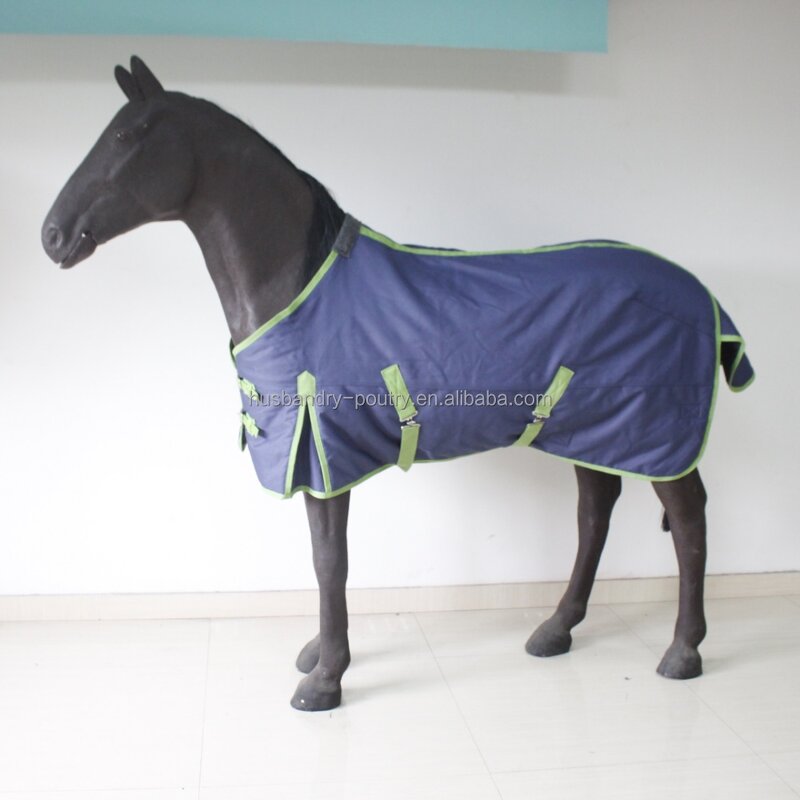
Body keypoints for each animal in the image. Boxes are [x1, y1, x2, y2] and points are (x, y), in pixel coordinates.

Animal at [42, 57, 753, 712]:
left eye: (126, 136)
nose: (52, 235)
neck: (299, 283)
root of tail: (704, 297)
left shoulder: (324, 451)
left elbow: (330, 561)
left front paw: (325, 678)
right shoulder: (316, 457)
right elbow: (322, 558)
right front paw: (317, 654)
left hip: (655, 435)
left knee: (688, 521)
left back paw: (683, 650)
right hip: (592, 431)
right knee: (594, 513)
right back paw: (556, 629)